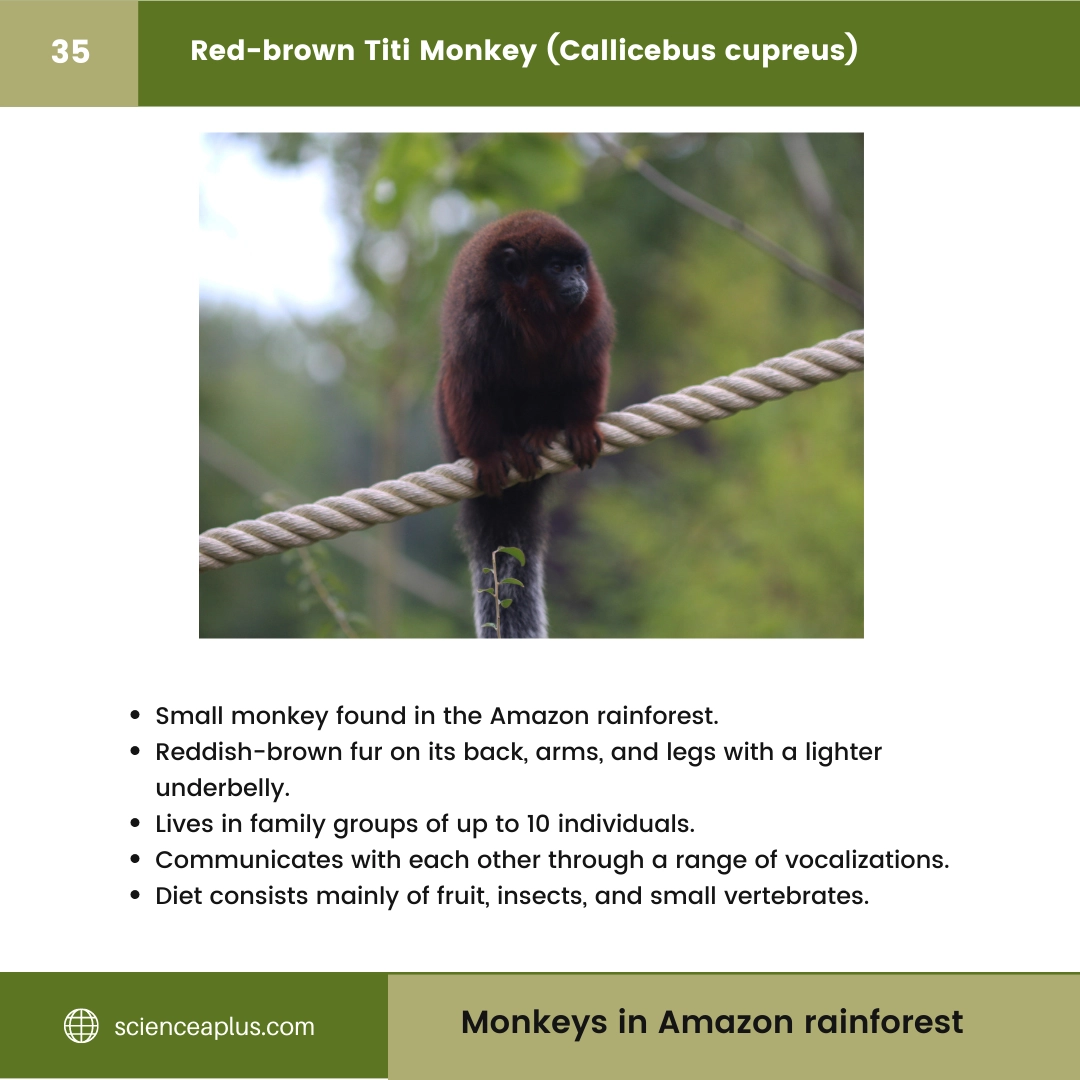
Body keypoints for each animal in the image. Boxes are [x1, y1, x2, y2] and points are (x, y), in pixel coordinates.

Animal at [435, 210, 615, 638]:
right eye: (556, 268)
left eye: (578, 267)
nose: (578, 282)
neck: (532, 314)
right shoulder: (476, 322)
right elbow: (467, 383)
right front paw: (486, 455)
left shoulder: (592, 316)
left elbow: (587, 365)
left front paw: (581, 425)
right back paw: (512, 447)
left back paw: (542, 432)